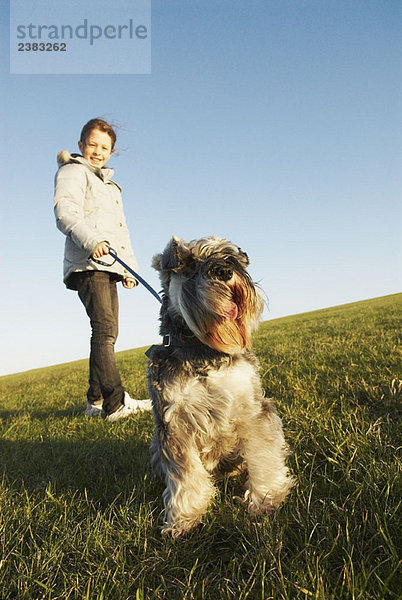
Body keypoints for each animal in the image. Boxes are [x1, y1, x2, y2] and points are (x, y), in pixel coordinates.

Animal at [146, 237, 294, 536]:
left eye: (228, 257)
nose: (225, 272)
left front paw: (266, 498)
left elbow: (263, 452)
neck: (204, 350)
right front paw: (184, 519)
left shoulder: (253, 410)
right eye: (188, 264)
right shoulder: (173, 424)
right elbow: (185, 474)